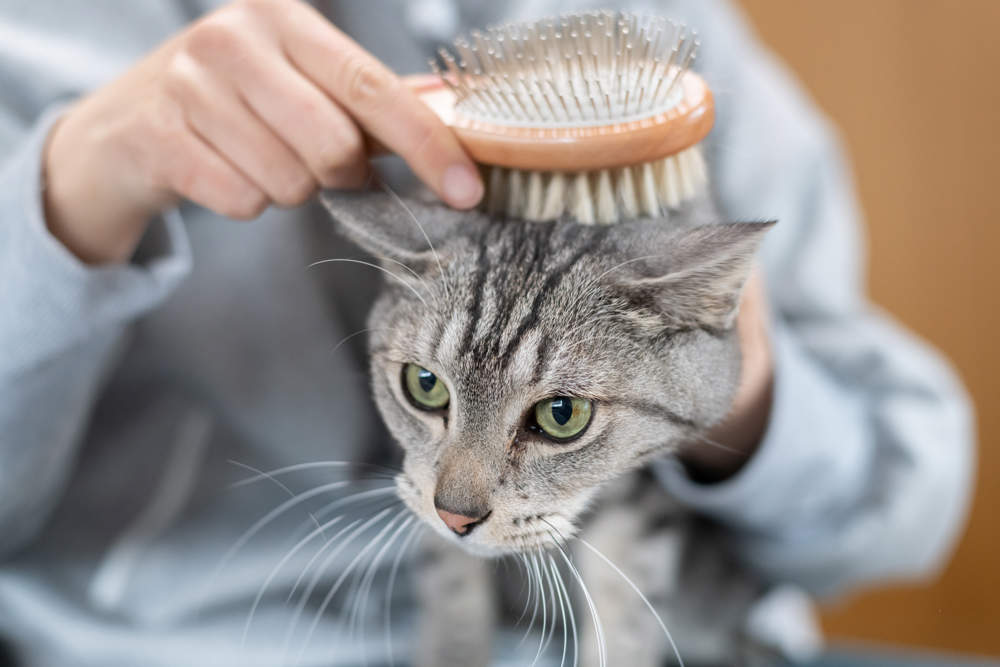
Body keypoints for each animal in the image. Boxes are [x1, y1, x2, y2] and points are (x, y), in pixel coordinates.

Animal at [320, 189, 772, 667]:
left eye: (562, 413)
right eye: (424, 385)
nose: (455, 517)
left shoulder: (644, 505)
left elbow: (626, 606)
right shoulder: (419, 483)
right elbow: (451, 587)